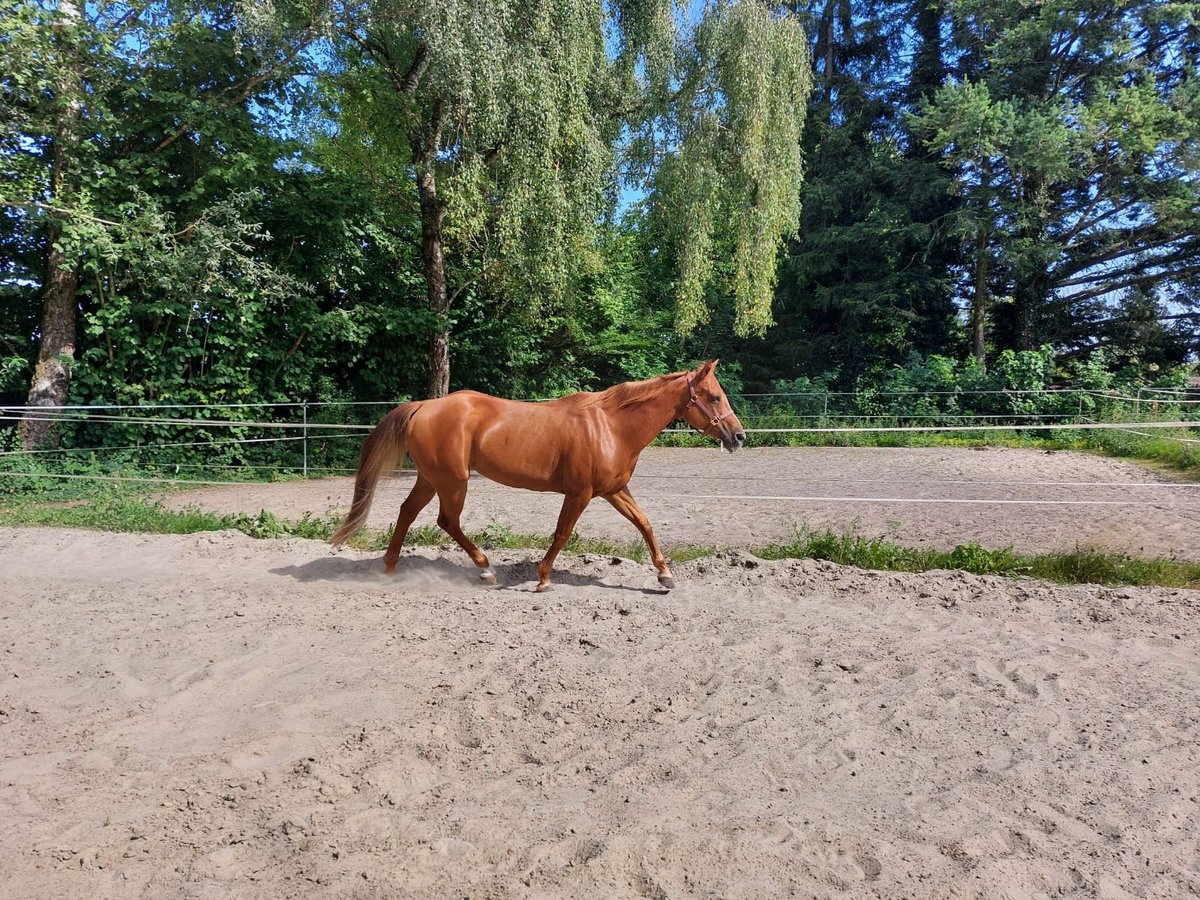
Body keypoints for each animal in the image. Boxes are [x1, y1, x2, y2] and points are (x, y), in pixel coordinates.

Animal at [330, 360, 746, 591]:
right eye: (713, 397)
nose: (738, 436)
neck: (611, 426)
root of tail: (423, 407)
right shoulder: (579, 494)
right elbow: (562, 533)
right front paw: (543, 577)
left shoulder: (615, 490)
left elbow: (644, 523)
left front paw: (665, 576)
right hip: (453, 482)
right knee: (446, 521)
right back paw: (486, 570)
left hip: (432, 479)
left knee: (407, 513)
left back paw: (389, 569)